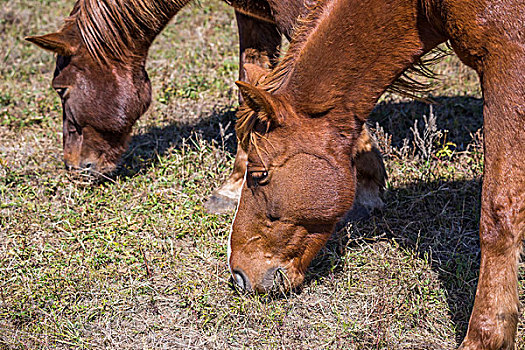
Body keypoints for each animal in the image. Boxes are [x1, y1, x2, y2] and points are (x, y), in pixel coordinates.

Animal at [24, 0, 384, 213]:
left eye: (61, 89)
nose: (73, 167)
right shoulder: (254, 14)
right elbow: (251, 82)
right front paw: (235, 186)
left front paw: (367, 183)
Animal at [230, 0, 524, 348]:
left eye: (259, 174)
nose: (238, 274)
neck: (420, 7)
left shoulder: (508, 64)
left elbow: (498, 212)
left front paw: (484, 336)